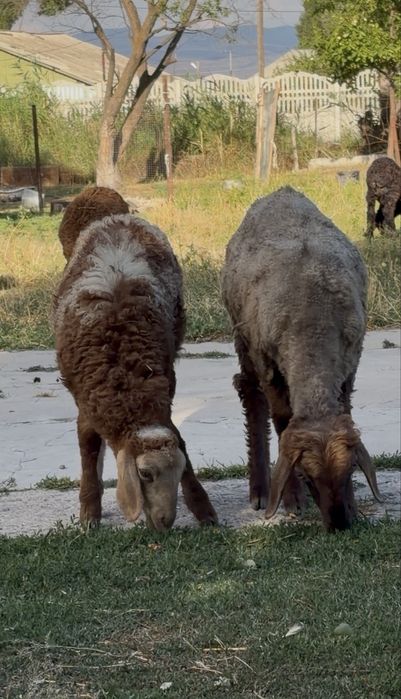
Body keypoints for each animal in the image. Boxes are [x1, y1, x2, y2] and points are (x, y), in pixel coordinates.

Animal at [53, 190, 217, 531]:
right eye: (144, 474)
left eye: (180, 471)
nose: (166, 522)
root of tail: (116, 216)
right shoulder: (85, 400)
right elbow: (88, 447)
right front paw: (89, 513)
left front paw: (202, 507)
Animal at [221, 186, 382, 531]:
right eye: (308, 477)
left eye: (350, 471)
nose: (339, 525)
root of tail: (282, 191)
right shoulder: (270, 367)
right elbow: (282, 422)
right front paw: (292, 499)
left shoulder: (350, 363)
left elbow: (345, 408)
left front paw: (351, 503)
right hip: (243, 337)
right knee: (250, 395)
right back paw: (259, 490)